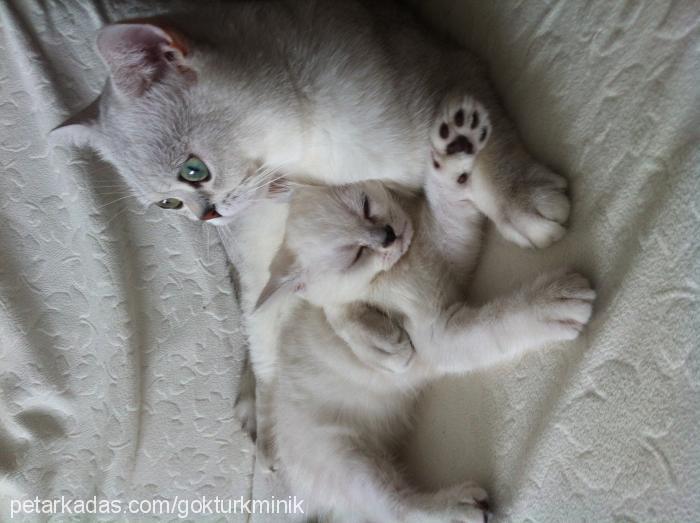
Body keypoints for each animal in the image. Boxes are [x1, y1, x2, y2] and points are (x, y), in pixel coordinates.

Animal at [258, 99, 596, 523]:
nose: (387, 236)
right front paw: (553, 303)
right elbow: (498, 322)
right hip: (347, 459)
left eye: (366, 206)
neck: (396, 272)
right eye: (354, 256)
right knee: (396, 507)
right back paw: (456, 508)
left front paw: (454, 148)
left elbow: (448, 198)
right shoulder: (435, 338)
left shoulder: (451, 241)